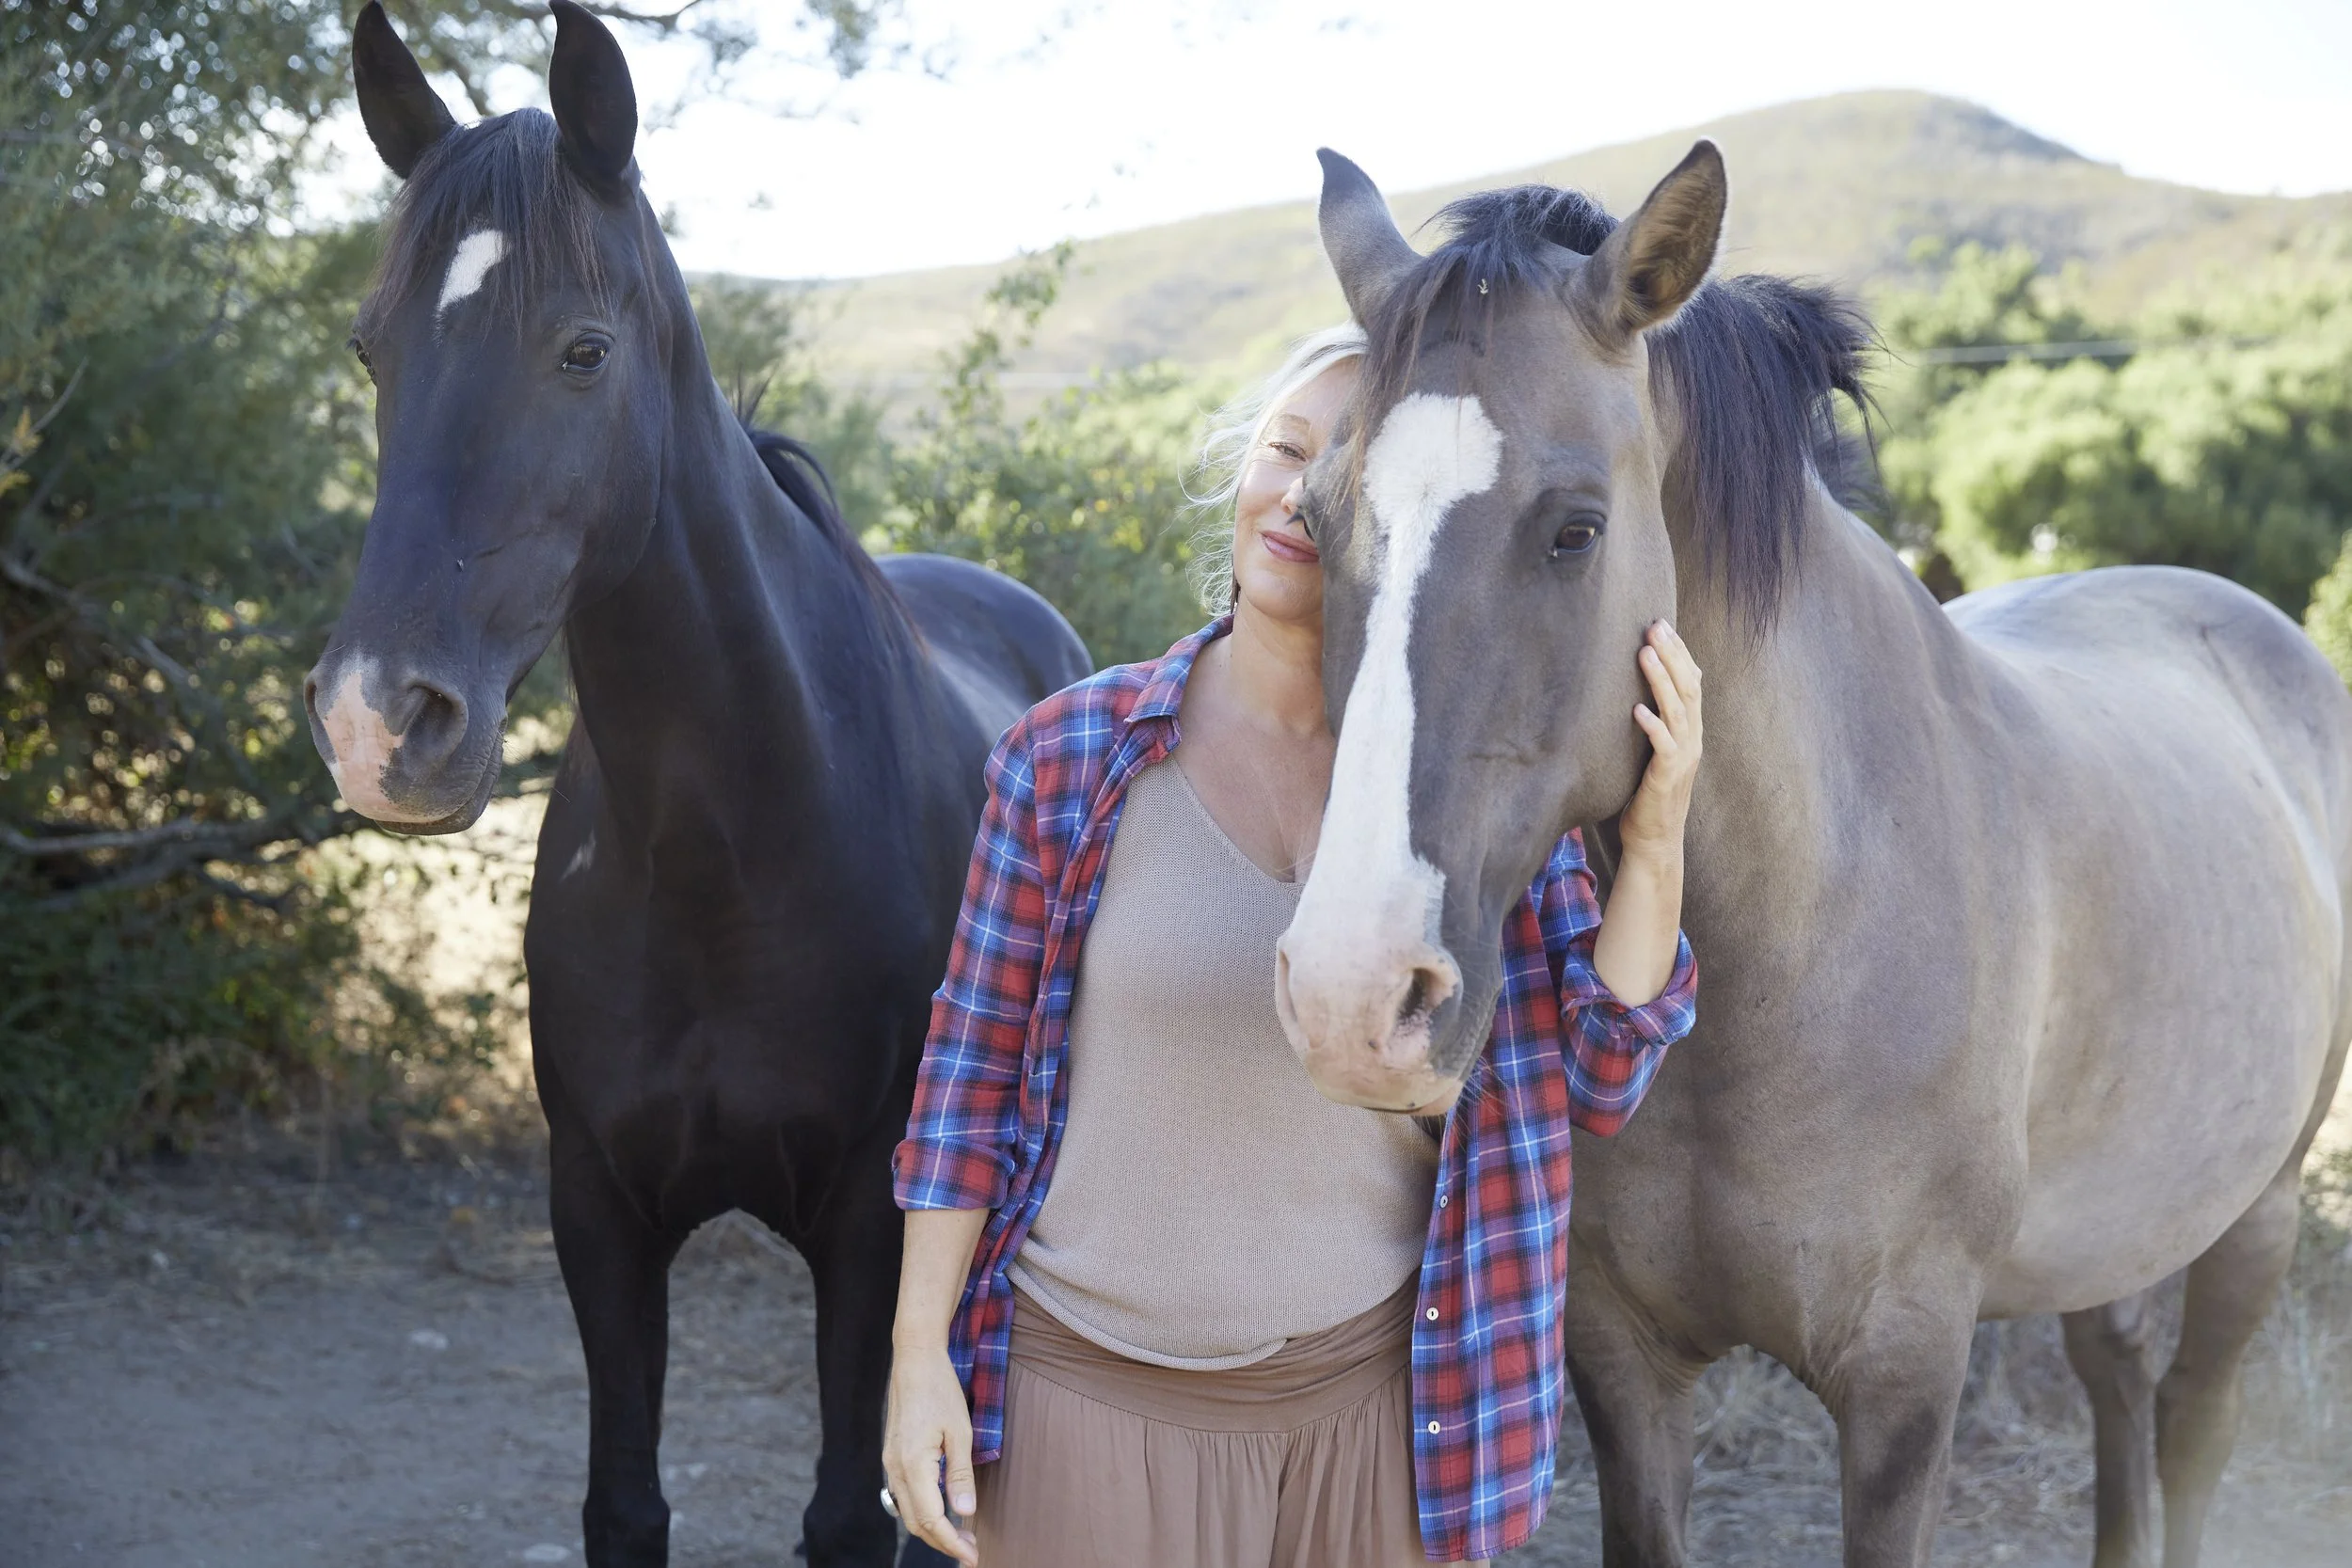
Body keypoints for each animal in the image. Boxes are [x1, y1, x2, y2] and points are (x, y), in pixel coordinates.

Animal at [304, 7, 1088, 1565]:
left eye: (583, 349)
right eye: (370, 350)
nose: (378, 722)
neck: (732, 849)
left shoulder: (869, 1224)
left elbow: (856, 1508)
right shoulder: (598, 1210)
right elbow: (624, 1501)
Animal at [1277, 141, 2352, 1568]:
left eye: (1575, 527)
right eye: (1313, 517)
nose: (1352, 994)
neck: (1797, 937)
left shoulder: (1902, 1379)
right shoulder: (1623, 1363)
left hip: (2260, 1211)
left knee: (2191, 1419)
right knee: (2120, 1378)